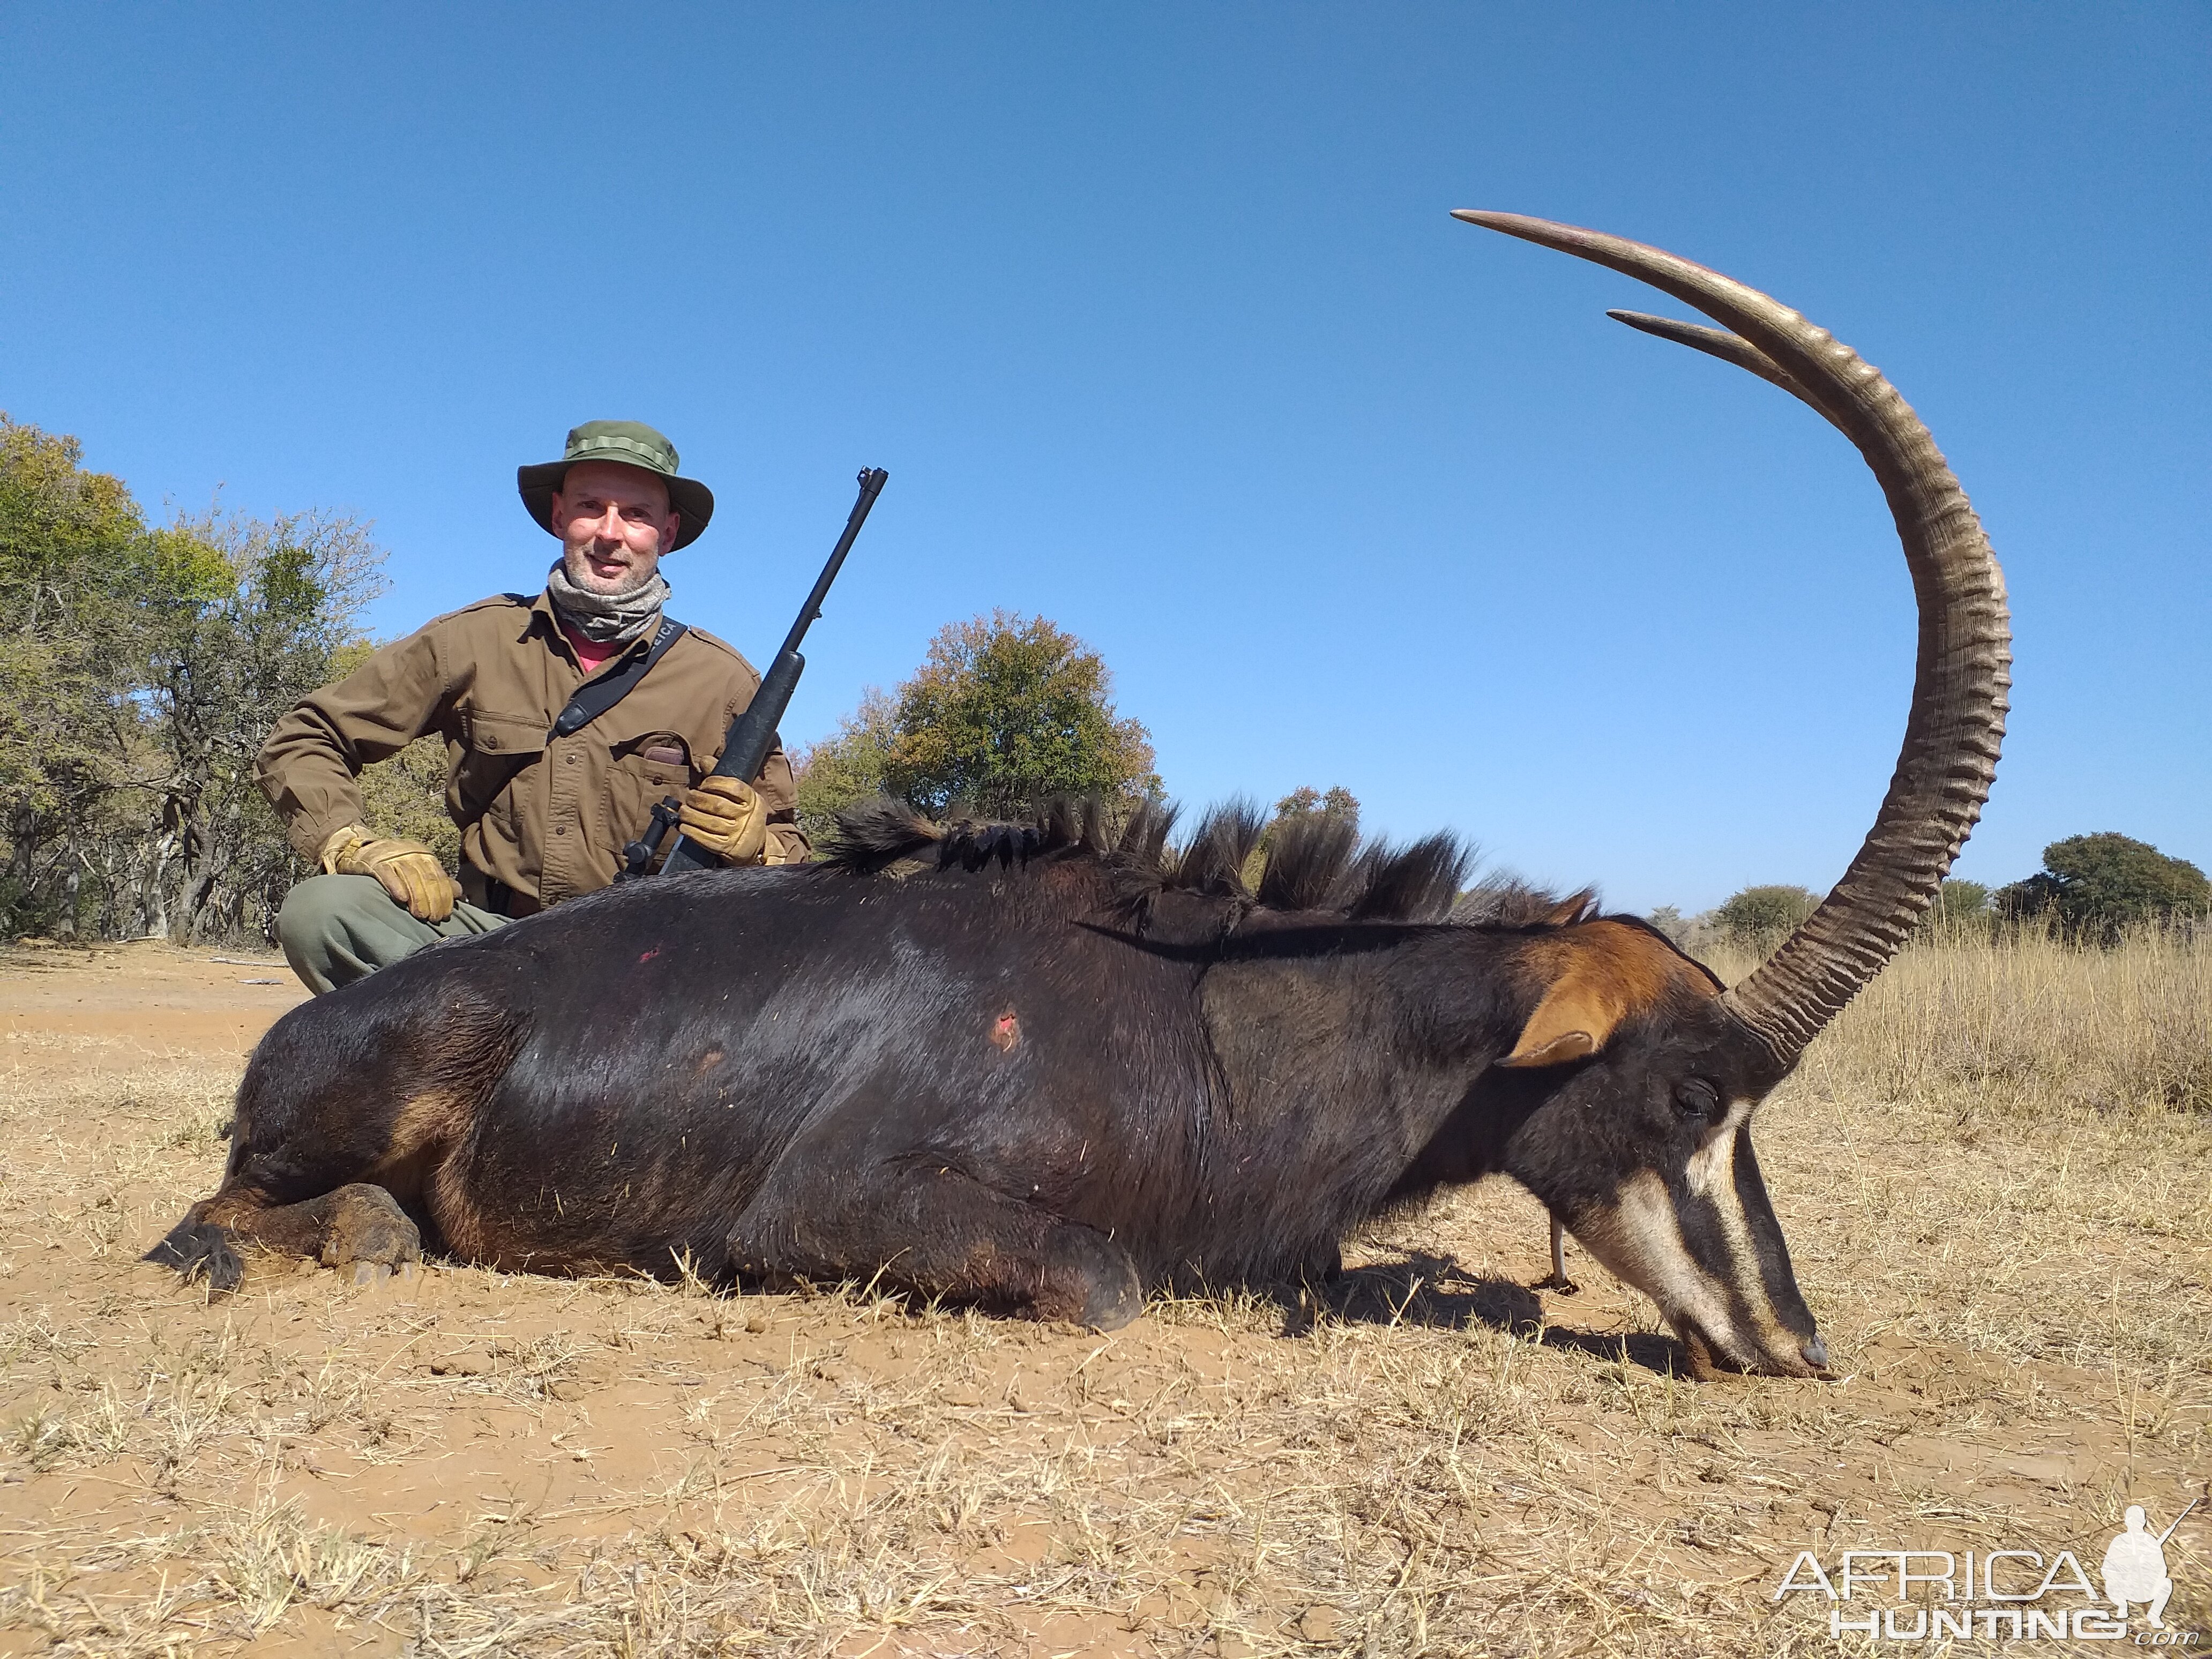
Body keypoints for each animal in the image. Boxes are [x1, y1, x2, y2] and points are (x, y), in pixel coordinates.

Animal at [151, 214, 2008, 1380]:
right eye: (1693, 1092)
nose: (1795, 1347)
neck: (1205, 1020)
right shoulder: (841, 1207)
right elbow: (1110, 1286)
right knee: (221, 1216)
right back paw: (360, 1234)